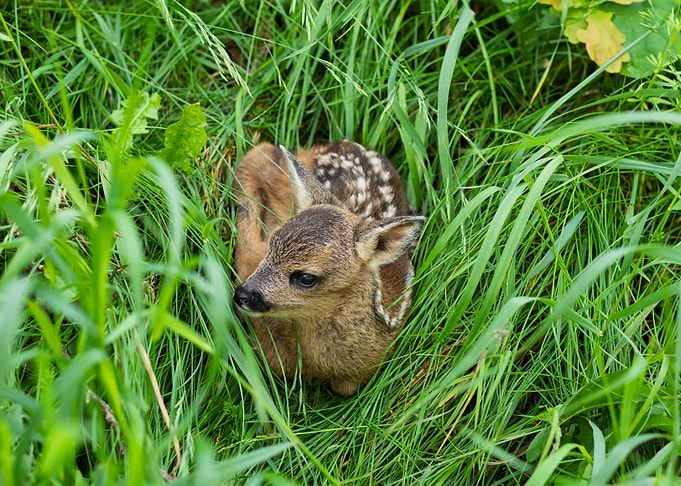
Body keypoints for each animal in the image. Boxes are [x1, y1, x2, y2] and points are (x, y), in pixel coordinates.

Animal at [232, 141, 424, 396]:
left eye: (306, 278)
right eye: (272, 246)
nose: (242, 295)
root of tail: (343, 143)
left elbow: (344, 389)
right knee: (260, 153)